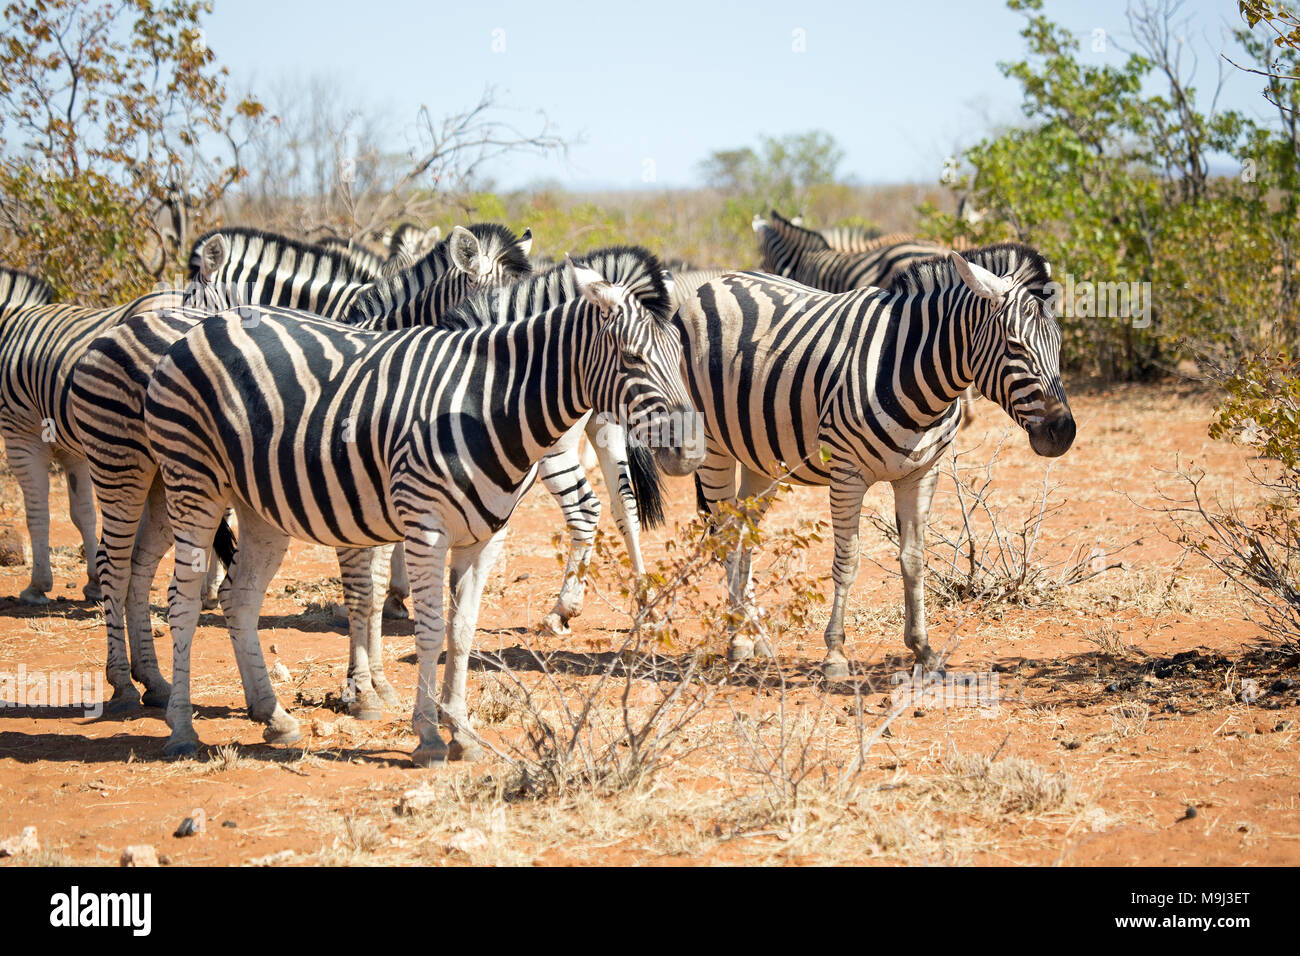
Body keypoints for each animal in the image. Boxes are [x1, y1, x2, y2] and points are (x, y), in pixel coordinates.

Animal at [67, 226, 527, 717]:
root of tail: (112, 331)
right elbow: (361, 590)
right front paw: (359, 689)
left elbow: (374, 587)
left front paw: (379, 683)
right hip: (121, 464)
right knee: (113, 564)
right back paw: (122, 683)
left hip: (165, 480)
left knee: (138, 567)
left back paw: (152, 681)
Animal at [141, 252, 702, 764]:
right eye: (631, 357)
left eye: (680, 355)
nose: (692, 451)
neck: (487, 403)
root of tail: (206, 324)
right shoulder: (425, 527)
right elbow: (429, 629)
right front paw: (428, 734)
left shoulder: (485, 537)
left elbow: (462, 630)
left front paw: (464, 732)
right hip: (194, 483)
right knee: (182, 601)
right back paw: (181, 728)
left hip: (261, 506)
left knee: (238, 598)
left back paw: (274, 716)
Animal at [676, 247, 1071, 681]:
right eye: (1015, 345)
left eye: (1059, 344)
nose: (1064, 432)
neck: (912, 374)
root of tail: (719, 280)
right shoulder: (846, 473)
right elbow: (847, 560)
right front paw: (835, 653)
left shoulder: (922, 473)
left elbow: (914, 560)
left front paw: (923, 650)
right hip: (713, 446)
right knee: (727, 535)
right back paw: (735, 641)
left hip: (760, 457)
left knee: (745, 534)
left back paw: (755, 637)